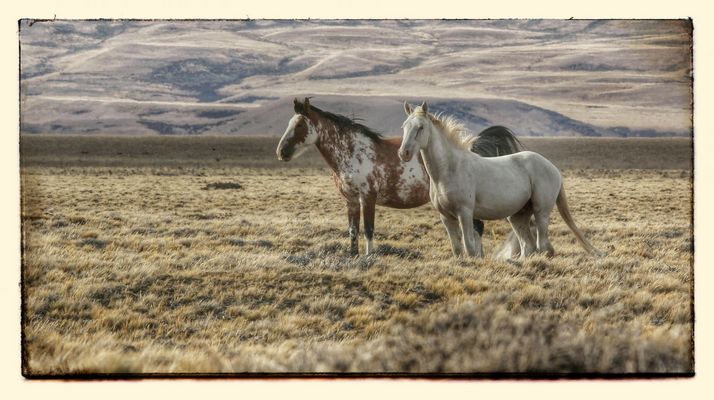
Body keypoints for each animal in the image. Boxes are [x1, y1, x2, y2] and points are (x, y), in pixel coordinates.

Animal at [276, 97, 524, 256]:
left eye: (300, 124)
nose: (281, 152)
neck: (354, 151)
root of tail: (472, 146)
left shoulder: (368, 198)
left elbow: (368, 230)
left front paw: (369, 257)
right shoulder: (351, 200)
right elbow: (353, 230)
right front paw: (353, 256)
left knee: (477, 229)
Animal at [398, 101, 601, 258]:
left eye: (421, 127)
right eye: (404, 126)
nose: (404, 153)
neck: (449, 170)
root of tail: (553, 168)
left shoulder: (465, 213)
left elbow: (469, 246)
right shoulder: (446, 217)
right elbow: (457, 249)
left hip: (541, 211)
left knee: (543, 246)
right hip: (518, 216)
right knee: (528, 247)